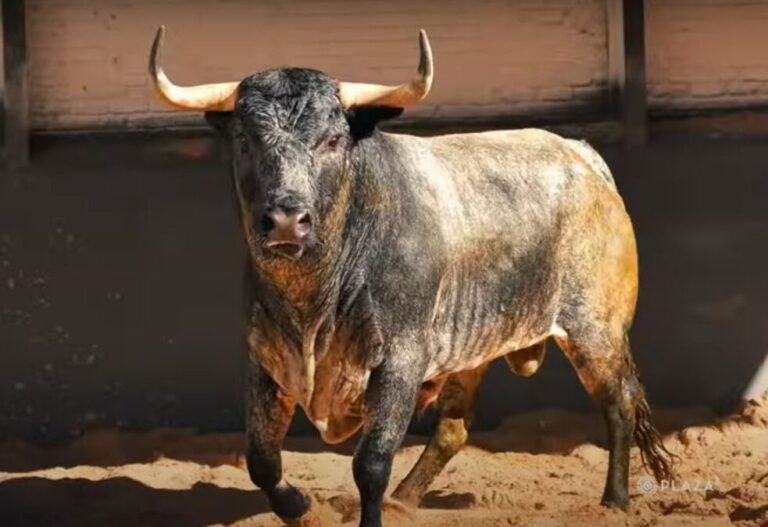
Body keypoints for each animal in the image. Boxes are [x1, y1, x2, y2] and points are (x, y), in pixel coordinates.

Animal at [149, 26, 674, 527]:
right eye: (244, 140)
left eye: (333, 140)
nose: (284, 220)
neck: (315, 295)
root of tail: (582, 157)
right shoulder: (264, 359)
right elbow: (261, 459)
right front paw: (303, 510)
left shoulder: (399, 361)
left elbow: (371, 463)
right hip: (472, 347)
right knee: (453, 429)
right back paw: (403, 502)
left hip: (595, 332)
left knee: (619, 404)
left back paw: (615, 501)